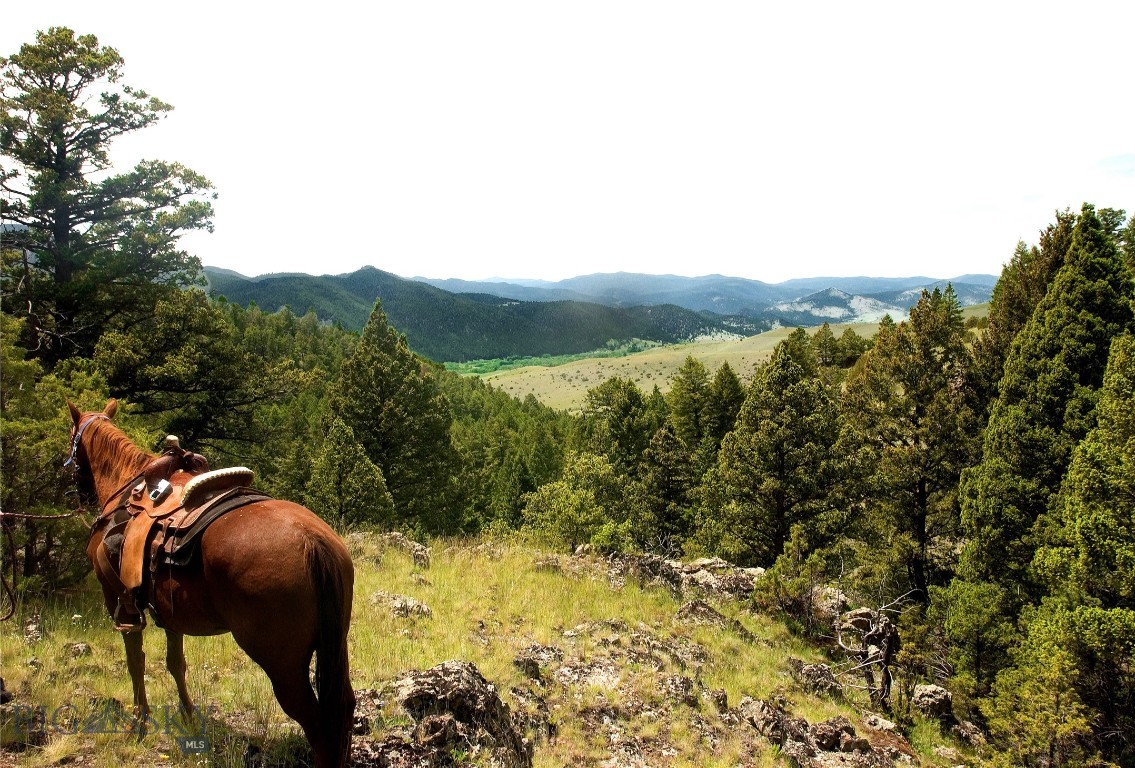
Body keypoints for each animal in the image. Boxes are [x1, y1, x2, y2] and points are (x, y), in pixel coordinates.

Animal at [68, 401, 351, 766]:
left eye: (71, 442)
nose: (80, 491)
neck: (125, 491)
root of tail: (312, 540)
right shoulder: (168, 615)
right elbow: (176, 663)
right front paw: (188, 717)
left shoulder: (119, 604)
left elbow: (135, 663)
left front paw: (138, 723)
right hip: (335, 646)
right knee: (344, 709)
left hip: (284, 666)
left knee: (317, 725)